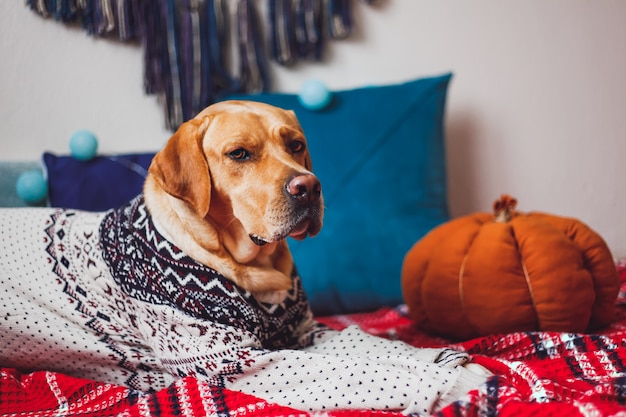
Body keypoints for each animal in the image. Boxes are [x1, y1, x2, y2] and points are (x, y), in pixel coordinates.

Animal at [0, 100, 482, 412]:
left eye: (296, 145)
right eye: (239, 154)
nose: (309, 186)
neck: (255, 267)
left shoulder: (306, 333)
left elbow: (370, 346)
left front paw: (438, 356)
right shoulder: (239, 362)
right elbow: (351, 369)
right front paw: (456, 380)